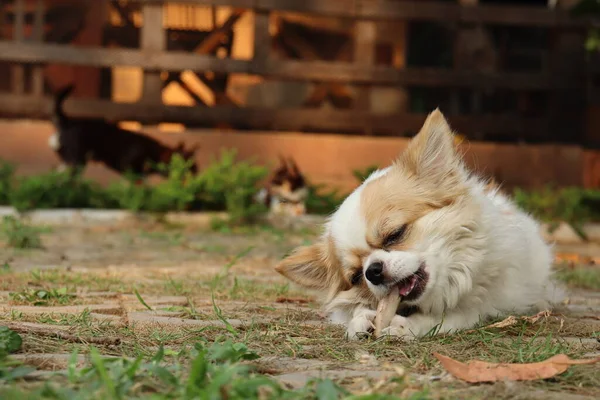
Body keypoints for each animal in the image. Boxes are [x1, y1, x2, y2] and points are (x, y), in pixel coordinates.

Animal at [48, 85, 199, 177]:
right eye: (190, 168)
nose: (198, 174)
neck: (156, 152)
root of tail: (67, 121)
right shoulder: (130, 171)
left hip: (68, 161)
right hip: (77, 161)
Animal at [276, 110, 564, 340]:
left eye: (394, 234)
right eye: (356, 276)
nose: (373, 271)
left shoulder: (489, 302)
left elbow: (458, 314)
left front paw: (409, 325)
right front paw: (360, 319)